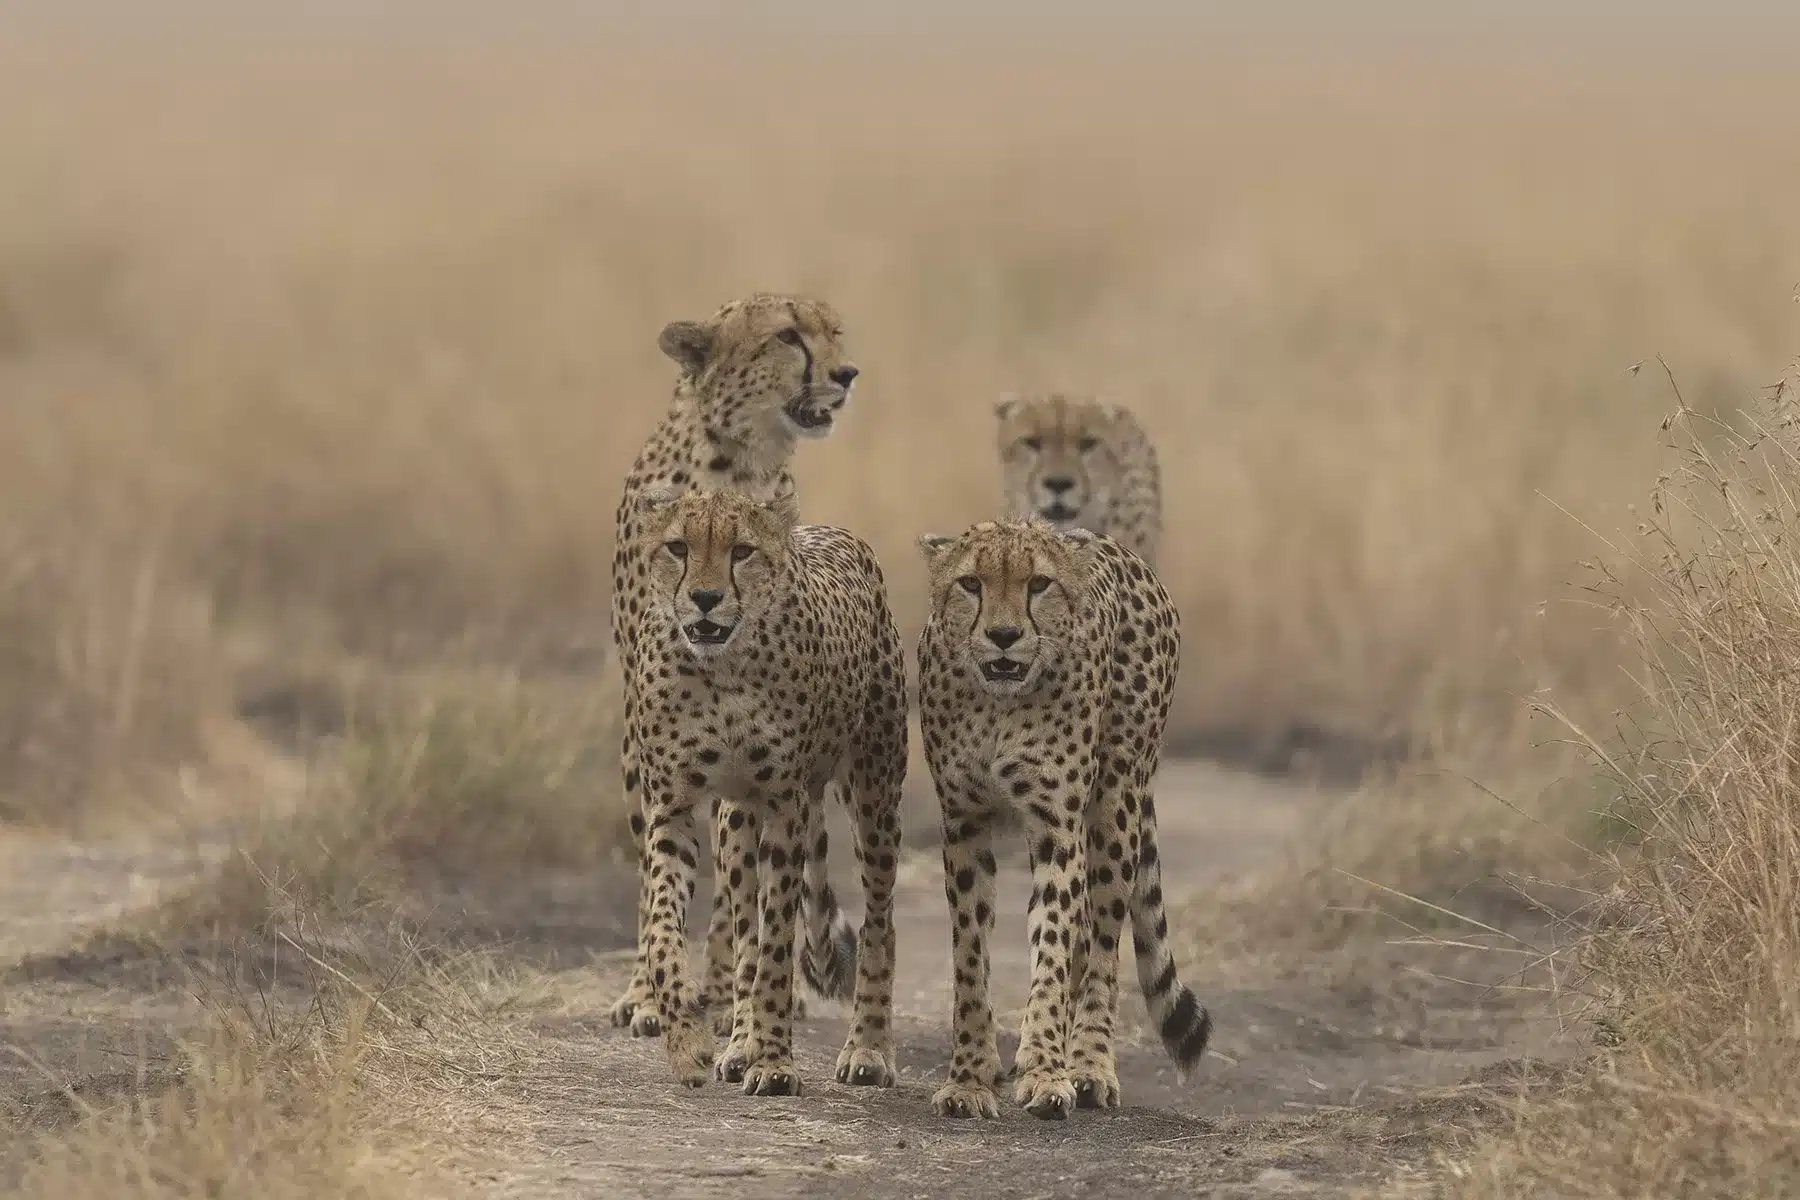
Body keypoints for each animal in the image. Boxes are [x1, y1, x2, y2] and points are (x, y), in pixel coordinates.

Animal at [612, 293, 864, 1043]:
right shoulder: (654, 730)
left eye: (834, 332)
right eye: (787, 336)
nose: (846, 373)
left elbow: (741, 872)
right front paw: (649, 993)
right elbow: (659, 874)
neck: (743, 466)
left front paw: (739, 994)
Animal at [637, 482, 914, 1093]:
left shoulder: (787, 806)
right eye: (677, 547)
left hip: (874, 799)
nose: (707, 598)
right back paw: (738, 1042)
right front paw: (690, 1042)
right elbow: (665, 933)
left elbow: (779, 946)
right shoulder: (673, 810)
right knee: (744, 930)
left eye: (741, 551)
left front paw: (774, 1060)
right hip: (737, 821)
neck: (721, 670)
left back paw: (867, 1048)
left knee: (880, 924)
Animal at [914, 521, 1209, 1122]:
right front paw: (970, 1077)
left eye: (1039, 584)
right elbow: (970, 957)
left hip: (1116, 806)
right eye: (971, 583)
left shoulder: (1058, 827)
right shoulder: (963, 825)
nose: (1004, 635)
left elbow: (1053, 942)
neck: (999, 704)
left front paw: (1047, 1071)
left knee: (1100, 943)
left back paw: (1089, 1065)